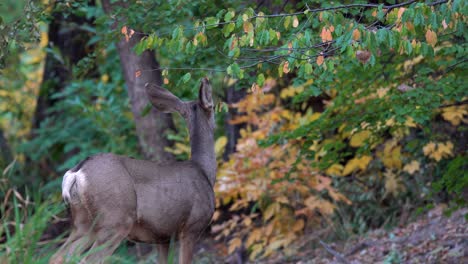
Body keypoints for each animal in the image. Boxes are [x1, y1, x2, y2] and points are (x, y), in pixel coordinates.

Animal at [51, 77, 218, 262]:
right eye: (214, 106)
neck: (203, 171)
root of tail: (77, 172)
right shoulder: (192, 227)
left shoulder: (162, 237)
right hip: (115, 220)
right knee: (88, 259)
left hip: (83, 223)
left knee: (58, 256)